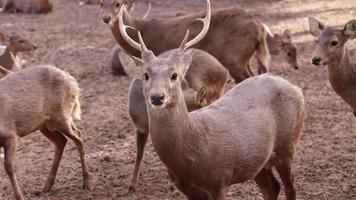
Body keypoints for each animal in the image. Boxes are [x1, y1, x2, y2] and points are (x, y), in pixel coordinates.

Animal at [0, 65, 89, 200]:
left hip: (61, 115)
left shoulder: (10, 135)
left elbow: (9, 167)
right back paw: (46, 188)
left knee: (78, 136)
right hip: (44, 124)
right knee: (61, 141)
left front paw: (20, 197)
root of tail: (72, 81)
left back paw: (86, 183)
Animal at [100, 0, 270, 83]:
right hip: (245, 58)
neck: (140, 29)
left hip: (233, 56)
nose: (106, 18)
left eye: (117, 3)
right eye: (101, 3)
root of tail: (259, 26)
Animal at [120, 47, 228, 192]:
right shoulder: (140, 127)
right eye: (145, 75)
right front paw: (132, 185)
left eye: (174, 75)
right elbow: (139, 153)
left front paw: (171, 185)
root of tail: (223, 70)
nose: (157, 97)